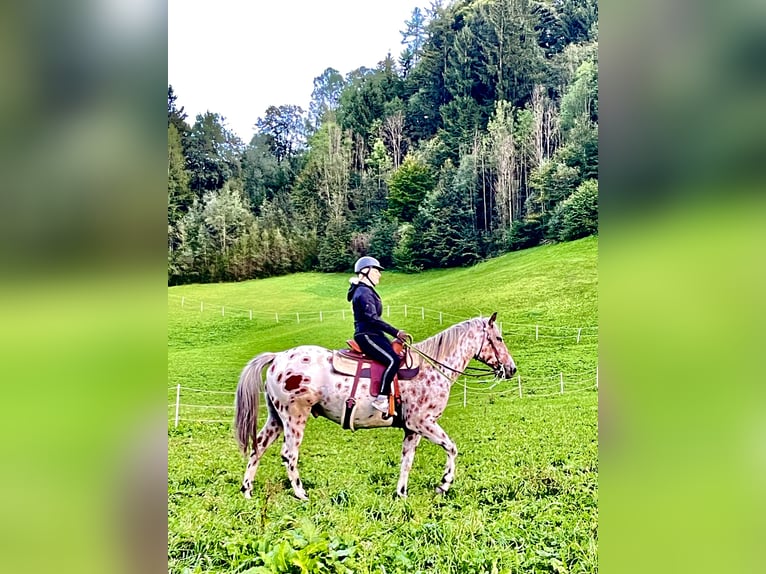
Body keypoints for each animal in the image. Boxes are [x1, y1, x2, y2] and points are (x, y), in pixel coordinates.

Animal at [237, 312, 520, 502]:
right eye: (498, 338)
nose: (511, 369)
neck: (431, 367)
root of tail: (278, 358)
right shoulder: (423, 423)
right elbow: (452, 448)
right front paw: (443, 485)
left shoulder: (412, 429)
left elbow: (407, 461)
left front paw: (401, 494)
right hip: (295, 417)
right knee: (289, 454)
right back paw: (300, 493)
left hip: (276, 418)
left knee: (258, 447)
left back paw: (247, 490)